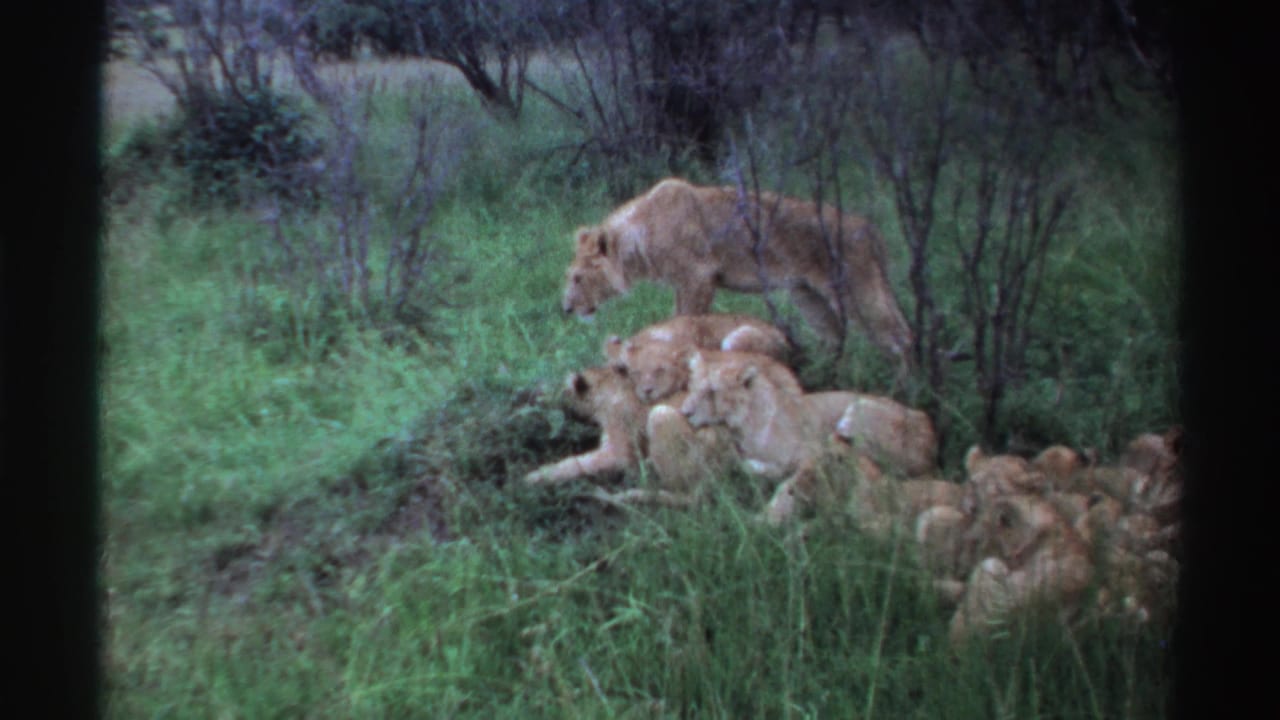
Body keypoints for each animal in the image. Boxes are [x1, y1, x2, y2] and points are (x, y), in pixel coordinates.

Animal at [561, 177, 914, 368]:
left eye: (578, 277)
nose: (565, 309)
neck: (641, 233)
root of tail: (868, 228)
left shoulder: (698, 277)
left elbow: (686, 320)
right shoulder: (684, 282)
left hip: (859, 289)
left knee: (900, 338)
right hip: (808, 296)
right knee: (834, 336)